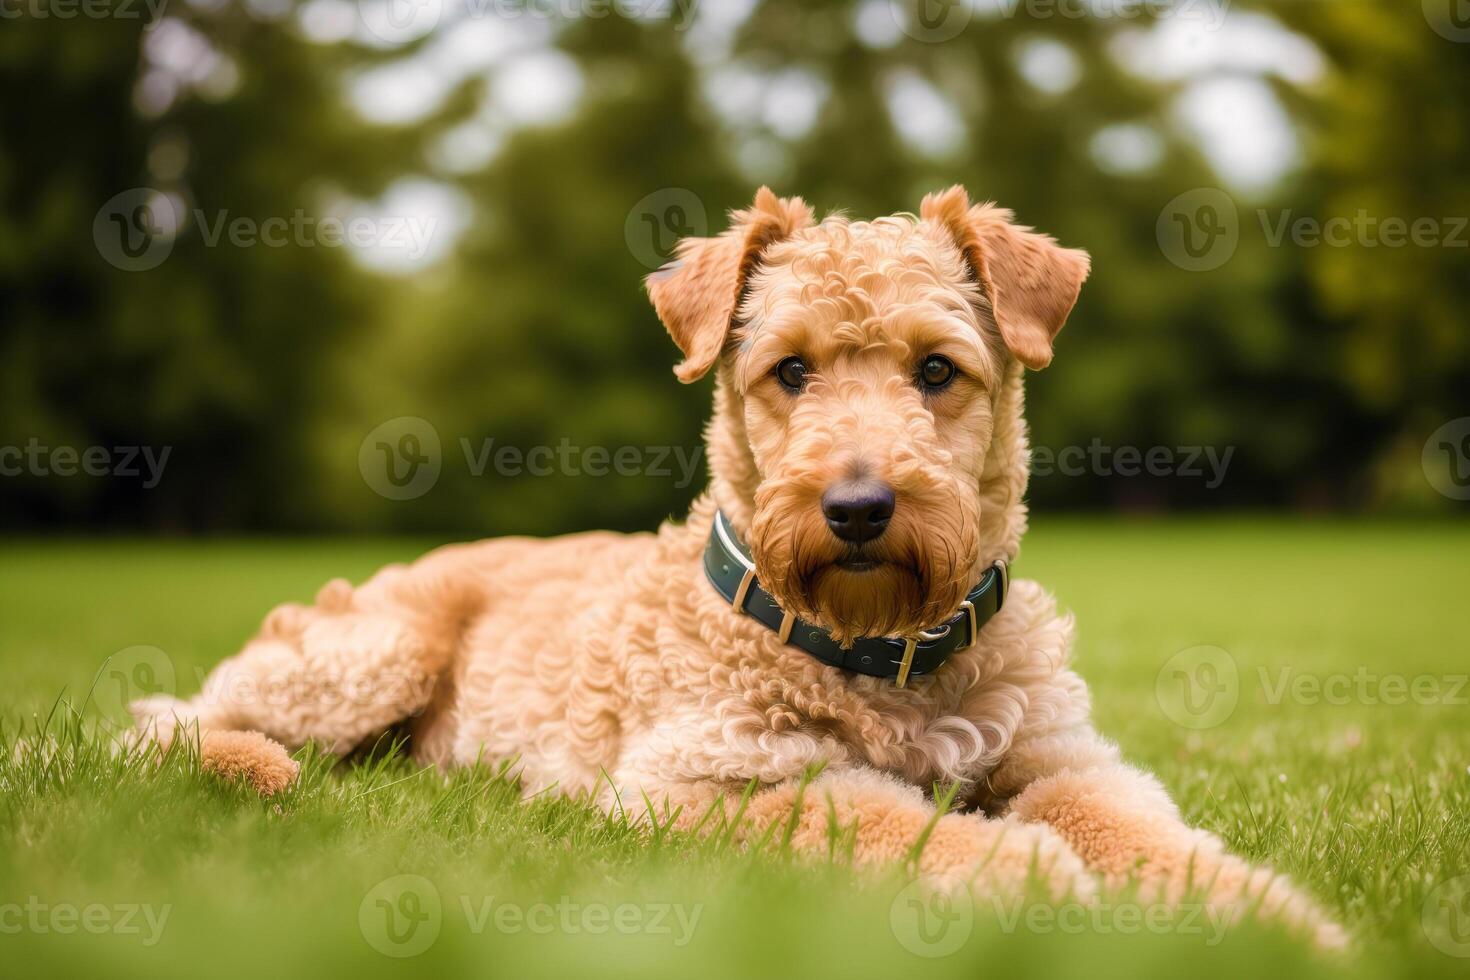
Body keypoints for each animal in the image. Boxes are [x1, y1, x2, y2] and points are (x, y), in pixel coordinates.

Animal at [135, 185, 1346, 952]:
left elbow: (1142, 832)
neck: (883, 650)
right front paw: (1035, 880)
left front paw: (1275, 920)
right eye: (790, 369)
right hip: (370, 654)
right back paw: (258, 773)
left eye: (937, 369)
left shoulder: (1062, 761)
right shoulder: (705, 782)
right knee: (161, 720)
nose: (857, 508)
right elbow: (886, 822)